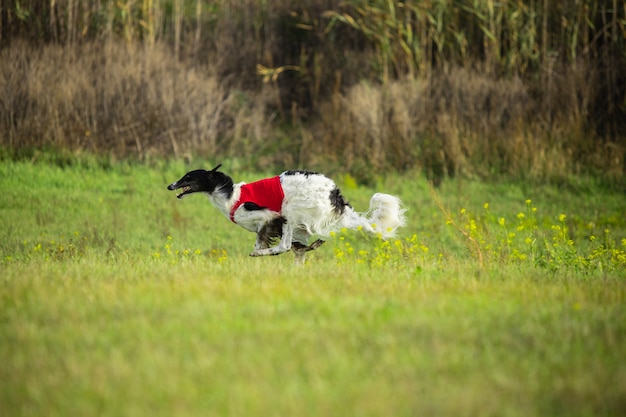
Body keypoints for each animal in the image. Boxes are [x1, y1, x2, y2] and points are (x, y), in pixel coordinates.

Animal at [168, 163, 408, 264]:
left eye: (188, 177)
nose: (171, 186)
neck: (230, 196)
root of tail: (336, 196)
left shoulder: (269, 217)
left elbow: (266, 243)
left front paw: (261, 252)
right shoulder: (268, 226)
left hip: (292, 210)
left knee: (285, 245)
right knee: (299, 247)